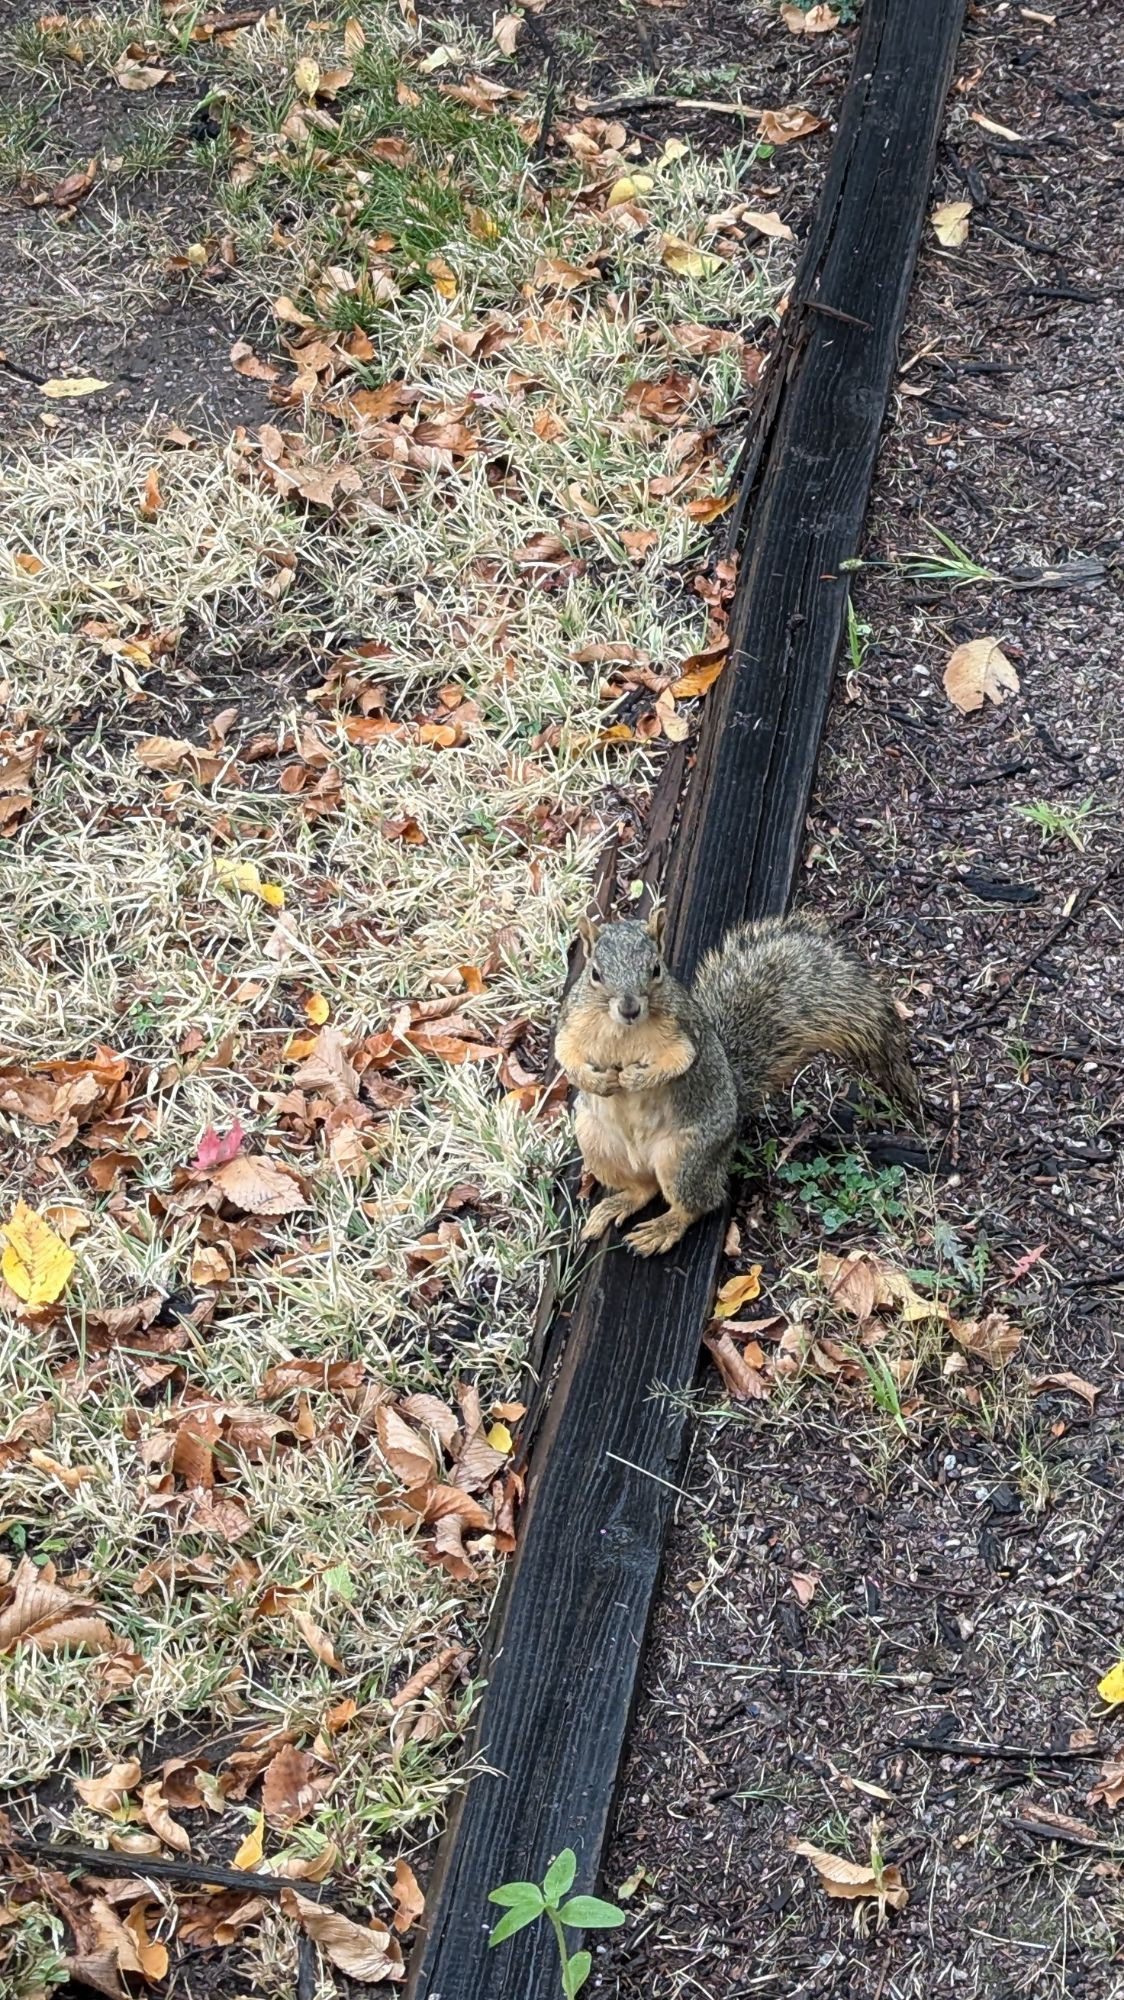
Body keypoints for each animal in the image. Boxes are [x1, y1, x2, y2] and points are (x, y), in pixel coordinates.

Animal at [552, 916, 920, 1256]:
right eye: (595, 974)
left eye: (656, 969)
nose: (629, 1008)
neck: (623, 1030)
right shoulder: (572, 1024)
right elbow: (566, 1054)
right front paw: (595, 1080)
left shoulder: (685, 1032)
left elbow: (679, 1062)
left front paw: (635, 1078)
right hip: (598, 1145)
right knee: (644, 1189)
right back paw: (614, 1206)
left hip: (685, 1158)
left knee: (698, 1202)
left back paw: (662, 1229)